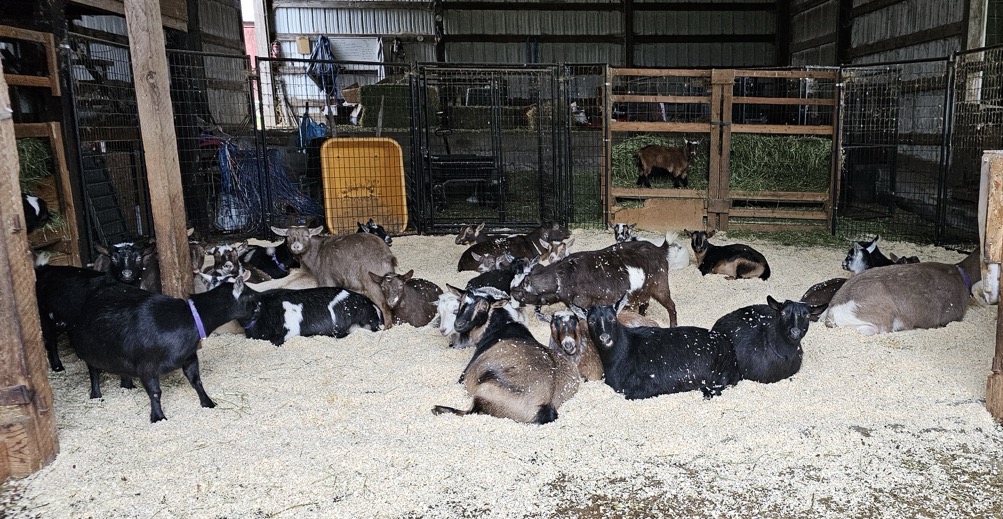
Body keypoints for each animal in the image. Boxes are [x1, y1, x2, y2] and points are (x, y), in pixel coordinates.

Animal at [68, 271, 258, 422]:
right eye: (250, 297)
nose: (259, 306)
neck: (188, 319)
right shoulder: (147, 366)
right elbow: (155, 392)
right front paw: (158, 417)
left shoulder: (189, 357)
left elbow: (196, 381)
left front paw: (208, 403)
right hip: (89, 350)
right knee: (93, 371)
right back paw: (96, 395)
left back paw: (127, 385)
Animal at [432, 287, 581, 424]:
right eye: (462, 302)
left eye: (484, 306)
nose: (459, 324)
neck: (499, 328)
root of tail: (546, 405)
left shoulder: (465, 374)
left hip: (485, 392)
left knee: (470, 412)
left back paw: (438, 409)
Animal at [510, 232, 679, 326]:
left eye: (519, 292)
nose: (511, 299)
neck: (565, 276)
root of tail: (660, 249)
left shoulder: (582, 303)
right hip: (643, 292)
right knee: (645, 304)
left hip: (661, 286)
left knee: (671, 306)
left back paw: (673, 325)